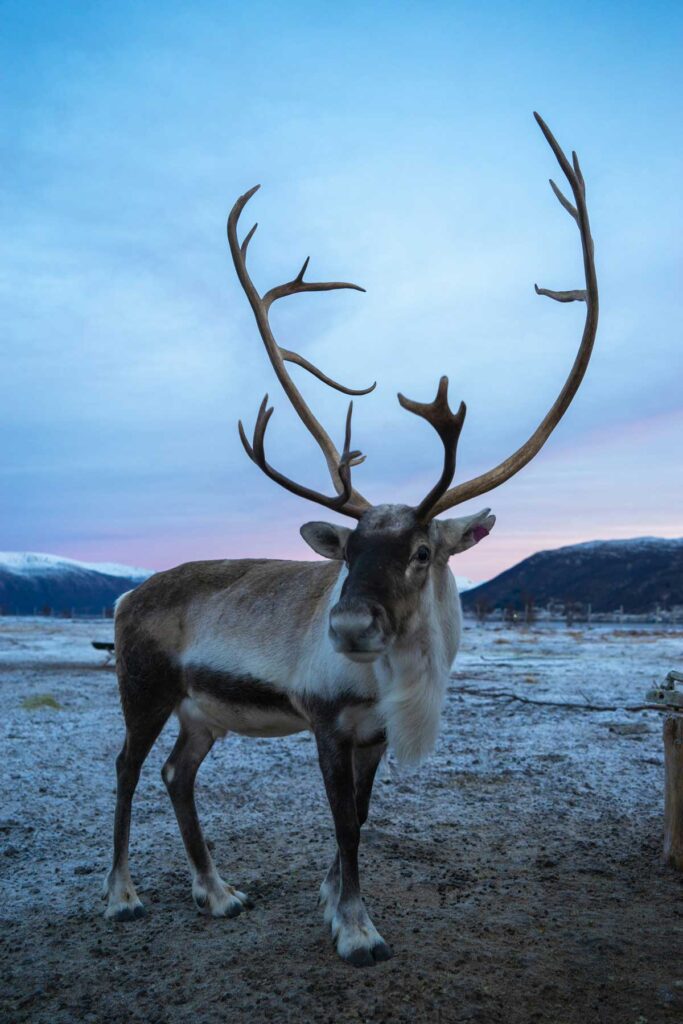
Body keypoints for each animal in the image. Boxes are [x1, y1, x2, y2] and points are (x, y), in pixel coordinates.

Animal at [104, 113, 598, 967]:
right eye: (346, 552)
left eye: (423, 552)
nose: (346, 624)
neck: (399, 683)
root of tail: (127, 592)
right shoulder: (327, 723)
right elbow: (340, 824)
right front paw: (357, 930)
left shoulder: (371, 737)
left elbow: (359, 823)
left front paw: (335, 905)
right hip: (145, 689)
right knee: (128, 770)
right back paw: (122, 895)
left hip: (201, 710)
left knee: (175, 774)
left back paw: (216, 891)